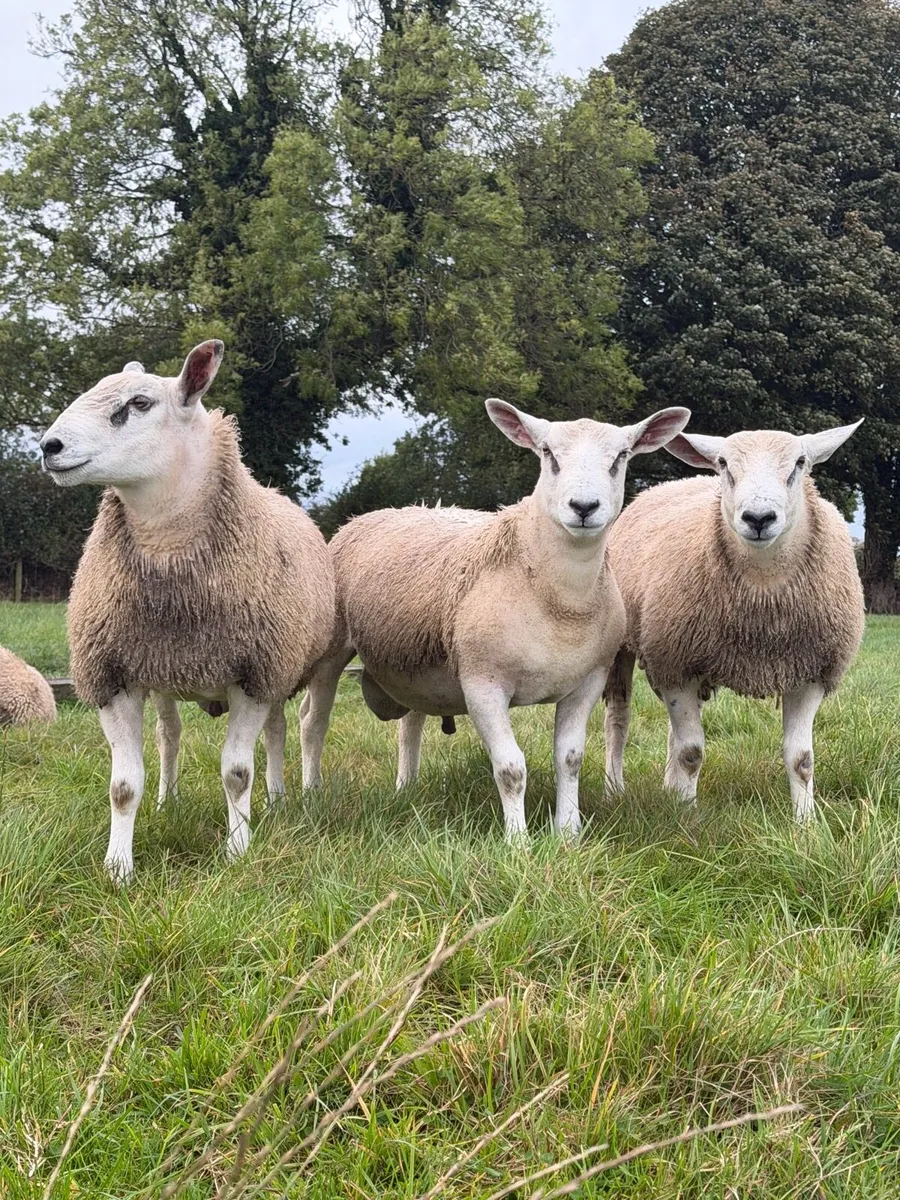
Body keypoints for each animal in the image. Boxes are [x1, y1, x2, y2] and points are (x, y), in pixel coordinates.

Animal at [40, 340, 335, 880]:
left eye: (139, 403)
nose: (49, 447)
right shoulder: (113, 676)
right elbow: (122, 786)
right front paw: (118, 869)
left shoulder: (254, 675)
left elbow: (237, 773)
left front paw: (238, 851)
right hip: (163, 671)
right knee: (169, 735)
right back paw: (167, 800)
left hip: (286, 668)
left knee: (278, 734)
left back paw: (279, 800)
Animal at [300, 400, 691, 838]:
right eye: (548, 453)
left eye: (621, 456)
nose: (584, 508)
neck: (559, 600)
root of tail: (368, 516)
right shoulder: (482, 684)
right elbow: (511, 769)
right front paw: (517, 841)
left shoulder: (588, 682)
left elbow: (570, 759)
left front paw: (568, 833)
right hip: (332, 649)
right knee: (313, 723)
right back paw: (311, 792)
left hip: (414, 662)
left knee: (410, 722)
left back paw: (407, 788)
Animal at [603, 422, 865, 821]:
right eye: (724, 463)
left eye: (800, 462)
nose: (758, 518)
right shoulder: (675, 664)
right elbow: (691, 753)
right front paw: (688, 818)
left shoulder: (811, 672)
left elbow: (802, 759)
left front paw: (805, 822)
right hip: (628, 646)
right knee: (619, 716)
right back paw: (614, 789)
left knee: (673, 730)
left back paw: (668, 788)